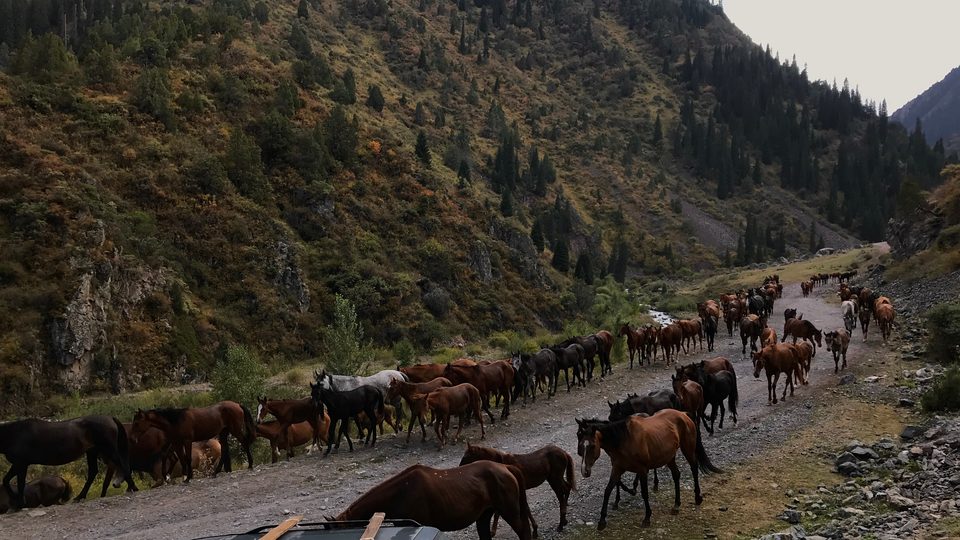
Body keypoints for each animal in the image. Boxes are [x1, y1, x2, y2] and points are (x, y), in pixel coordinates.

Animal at [1, 415, 135, 509]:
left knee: (122, 464)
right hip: (92, 452)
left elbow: (16, 482)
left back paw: (133, 487)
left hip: (108, 450)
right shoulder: (20, 464)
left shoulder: (21, 463)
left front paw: (19, 502)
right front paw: (18, 502)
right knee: (93, 472)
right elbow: (10, 481)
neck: (13, 434)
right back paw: (80, 496)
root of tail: (110, 418)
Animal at [576, 411, 720, 530]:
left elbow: (644, 493)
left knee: (694, 469)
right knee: (676, 475)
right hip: (669, 457)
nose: (584, 471)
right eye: (580, 446)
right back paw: (676, 505)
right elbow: (607, 490)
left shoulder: (642, 470)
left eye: (592, 446)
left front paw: (647, 517)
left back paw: (697, 498)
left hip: (687, 449)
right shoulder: (617, 468)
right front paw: (602, 521)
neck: (625, 439)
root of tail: (683, 414)